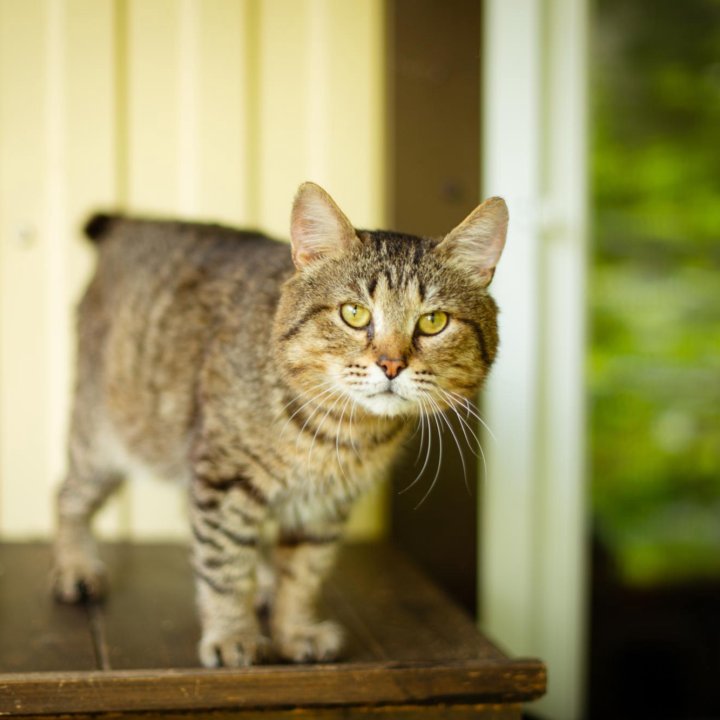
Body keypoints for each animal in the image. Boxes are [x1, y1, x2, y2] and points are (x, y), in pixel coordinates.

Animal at [52, 183, 506, 668]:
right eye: (354, 313)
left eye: (433, 321)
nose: (391, 364)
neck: (343, 432)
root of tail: (128, 223)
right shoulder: (225, 478)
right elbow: (225, 563)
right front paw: (232, 634)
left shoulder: (325, 506)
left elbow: (304, 572)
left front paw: (294, 629)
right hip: (102, 442)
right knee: (67, 497)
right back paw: (75, 567)